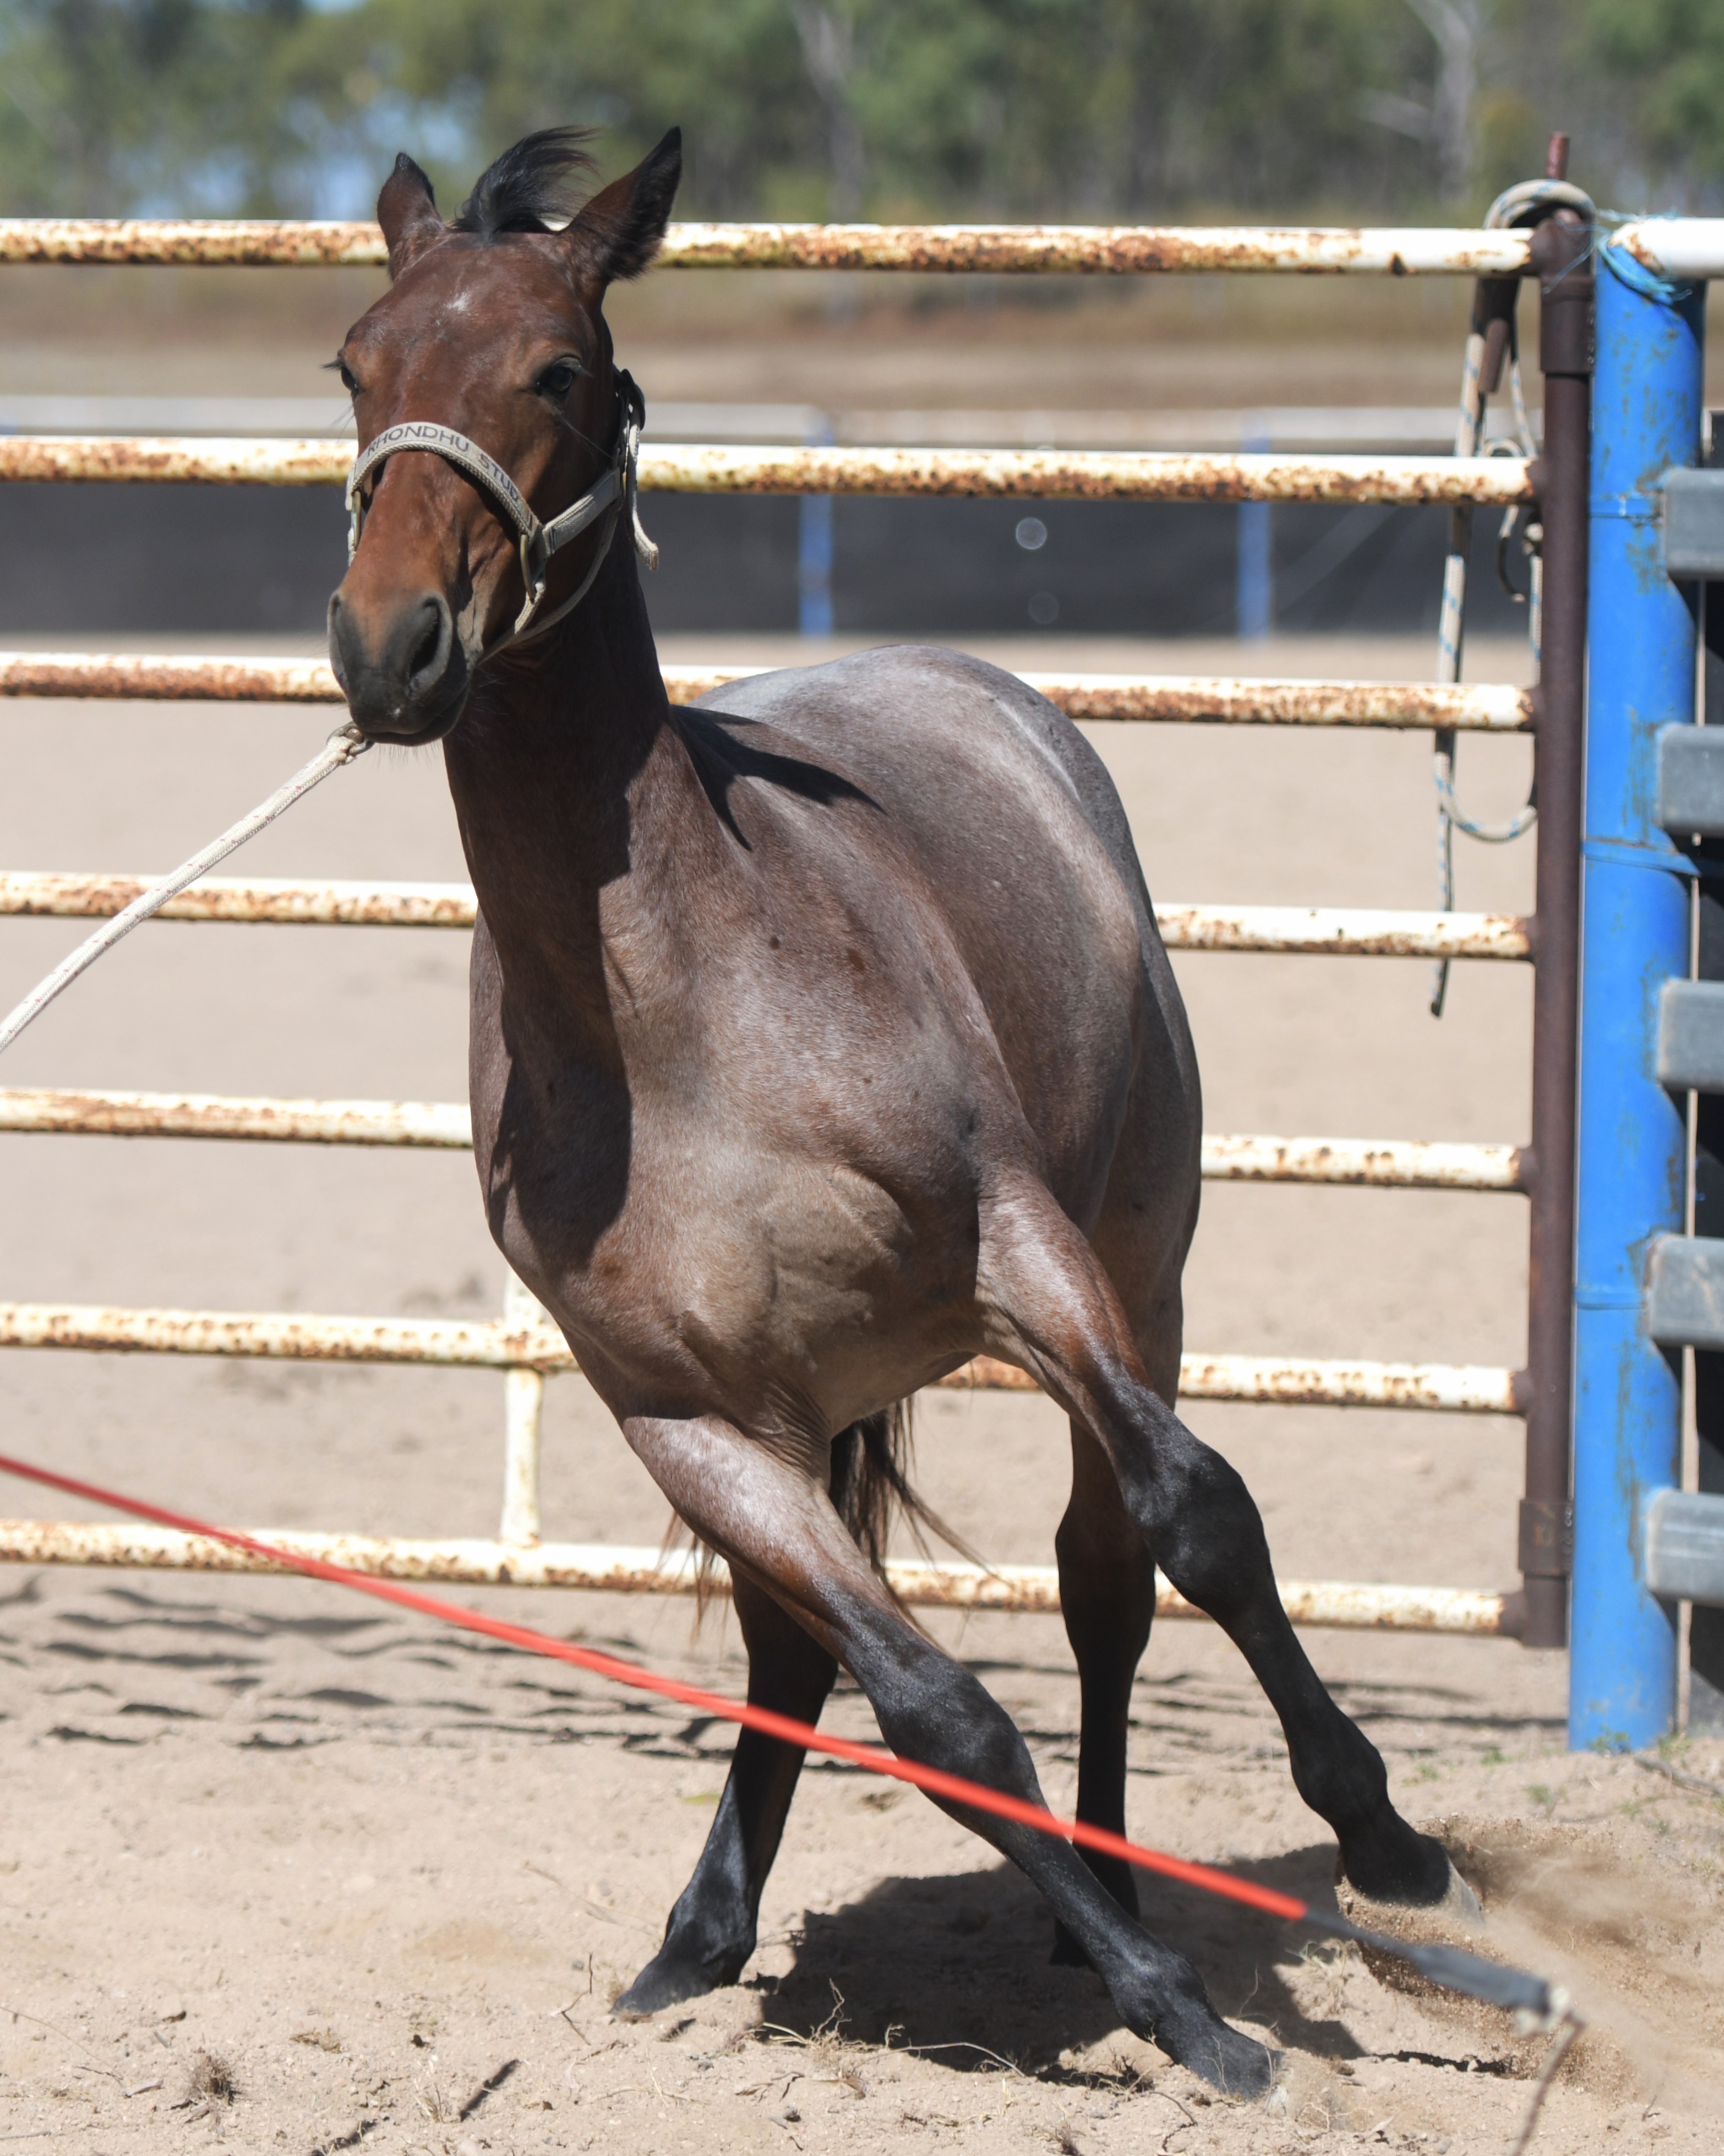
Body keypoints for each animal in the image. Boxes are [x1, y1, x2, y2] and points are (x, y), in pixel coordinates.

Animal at [326, 125, 1470, 2096]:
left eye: (552, 369)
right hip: (809, 1413)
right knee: (806, 1648)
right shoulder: (689, 1420)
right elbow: (930, 1706)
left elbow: (1199, 1518)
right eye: (353, 364)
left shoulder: (1026, 1259)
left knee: (1107, 1577)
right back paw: (708, 1940)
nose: (390, 645)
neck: (675, 1016)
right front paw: (1179, 2014)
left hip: (1139, 1272)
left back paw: (1129, 1886)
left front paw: (1376, 1846)